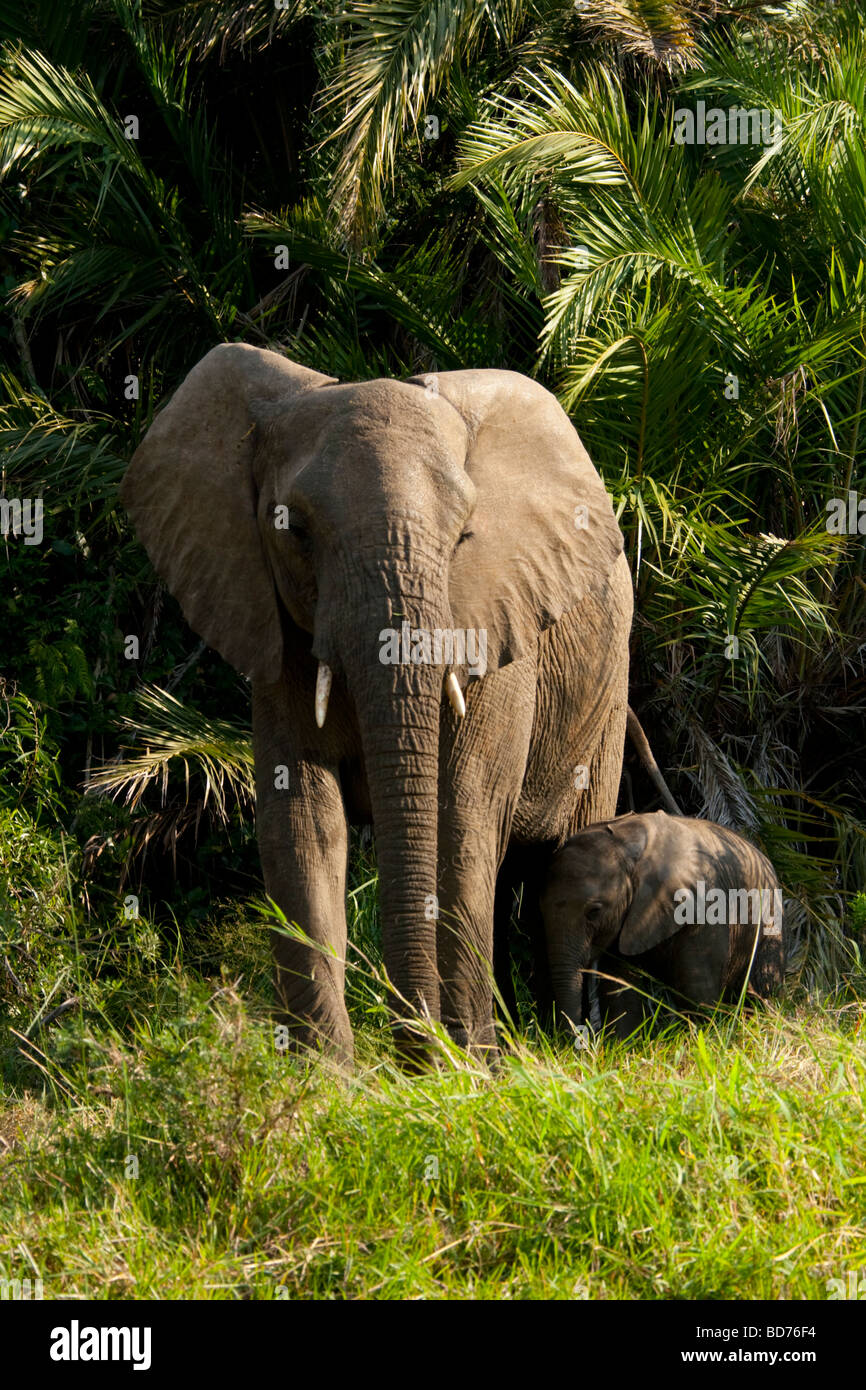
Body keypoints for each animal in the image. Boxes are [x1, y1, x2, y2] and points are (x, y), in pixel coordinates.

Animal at [120, 347, 631, 1061]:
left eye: (464, 536)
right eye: (295, 530)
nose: (417, 1053)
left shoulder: (494, 623)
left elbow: (462, 818)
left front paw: (465, 1068)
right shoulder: (274, 632)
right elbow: (303, 823)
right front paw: (326, 1074)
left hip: (607, 691)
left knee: (556, 856)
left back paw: (563, 1045)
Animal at [542, 811, 783, 1034]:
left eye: (594, 911)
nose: (573, 1041)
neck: (629, 845)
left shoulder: (705, 904)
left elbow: (697, 990)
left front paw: (706, 1034)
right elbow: (619, 983)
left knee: (760, 986)